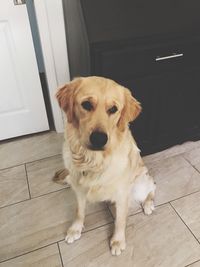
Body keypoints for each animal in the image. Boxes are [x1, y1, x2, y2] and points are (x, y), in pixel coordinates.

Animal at [55, 76, 155, 256]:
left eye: (113, 109)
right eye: (87, 104)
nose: (99, 139)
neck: (93, 160)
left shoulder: (122, 193)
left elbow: (120, 221)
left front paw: (117, 241)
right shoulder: (79, 189)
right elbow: (79, 211)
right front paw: (75, 229)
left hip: (140, 183)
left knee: (152, 187)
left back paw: (149, 203)